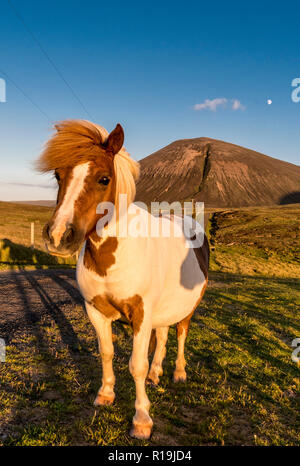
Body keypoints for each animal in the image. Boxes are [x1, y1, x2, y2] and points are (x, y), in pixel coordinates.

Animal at [37, 118, 209, 438]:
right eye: (57, 175)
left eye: (104, 179)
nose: (58, 236)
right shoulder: (96, 310)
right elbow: (106, 352)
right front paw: (105, 394)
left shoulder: (141, 314)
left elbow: (136, 365)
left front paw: (141, 419)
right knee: (163, 334)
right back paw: (157, 373)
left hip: (188, 307)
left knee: (181, 333)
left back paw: (179, 372)